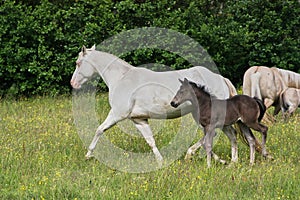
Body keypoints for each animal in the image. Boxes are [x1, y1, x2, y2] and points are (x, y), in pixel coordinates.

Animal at [70, 45, 260, 166]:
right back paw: (231, 161)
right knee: (230, 135)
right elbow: (150, 140)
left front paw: (88, 155)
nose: (73, 83)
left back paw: (196, 154)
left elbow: (99, 130)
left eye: (78, 63)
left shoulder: (117, 114)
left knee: (216, 135)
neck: (122, 78)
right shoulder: (139, 120)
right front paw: (160, 161)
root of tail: (221, 78)